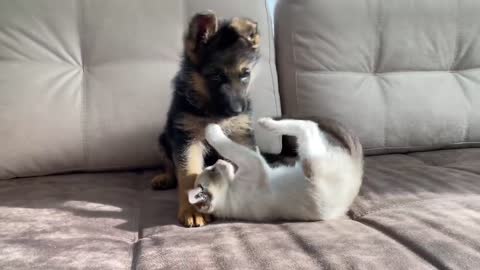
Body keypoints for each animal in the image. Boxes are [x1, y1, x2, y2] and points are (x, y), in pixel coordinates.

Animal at [151, 10, 260, 227]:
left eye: (245, 74)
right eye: (216, 76)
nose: (237, 111)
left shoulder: (241, 136)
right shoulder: (187, 138)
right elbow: (188, 174)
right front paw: (193, 210)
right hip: (163, 138)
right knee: (170, 165)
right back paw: (165, 178)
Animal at [188, 117, 364, 221]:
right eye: (212, 169)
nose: (219, 161)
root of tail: (357, 171)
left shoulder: (254, 161)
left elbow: (244, 150)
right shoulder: (253, 162)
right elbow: (226, 145)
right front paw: (211, 129)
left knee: (309, 125)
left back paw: (267, 123)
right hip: (311, 161)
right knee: (309, 127)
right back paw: (267, 122)